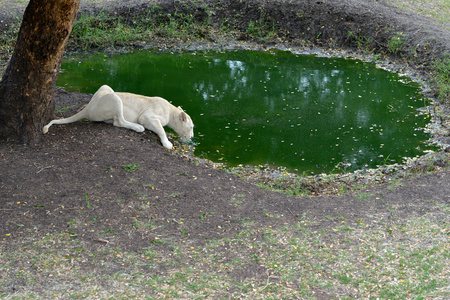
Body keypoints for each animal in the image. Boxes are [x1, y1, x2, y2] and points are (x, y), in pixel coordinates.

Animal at [42, 85, 195, 149]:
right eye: (192, 127)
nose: (193, 136)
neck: (171, 111)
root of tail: (88, 107)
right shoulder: (146, 117)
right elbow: (162, 130)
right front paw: (167, 143)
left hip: (106, 88)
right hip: (115, 99)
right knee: (119, 122)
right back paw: (138, 128)